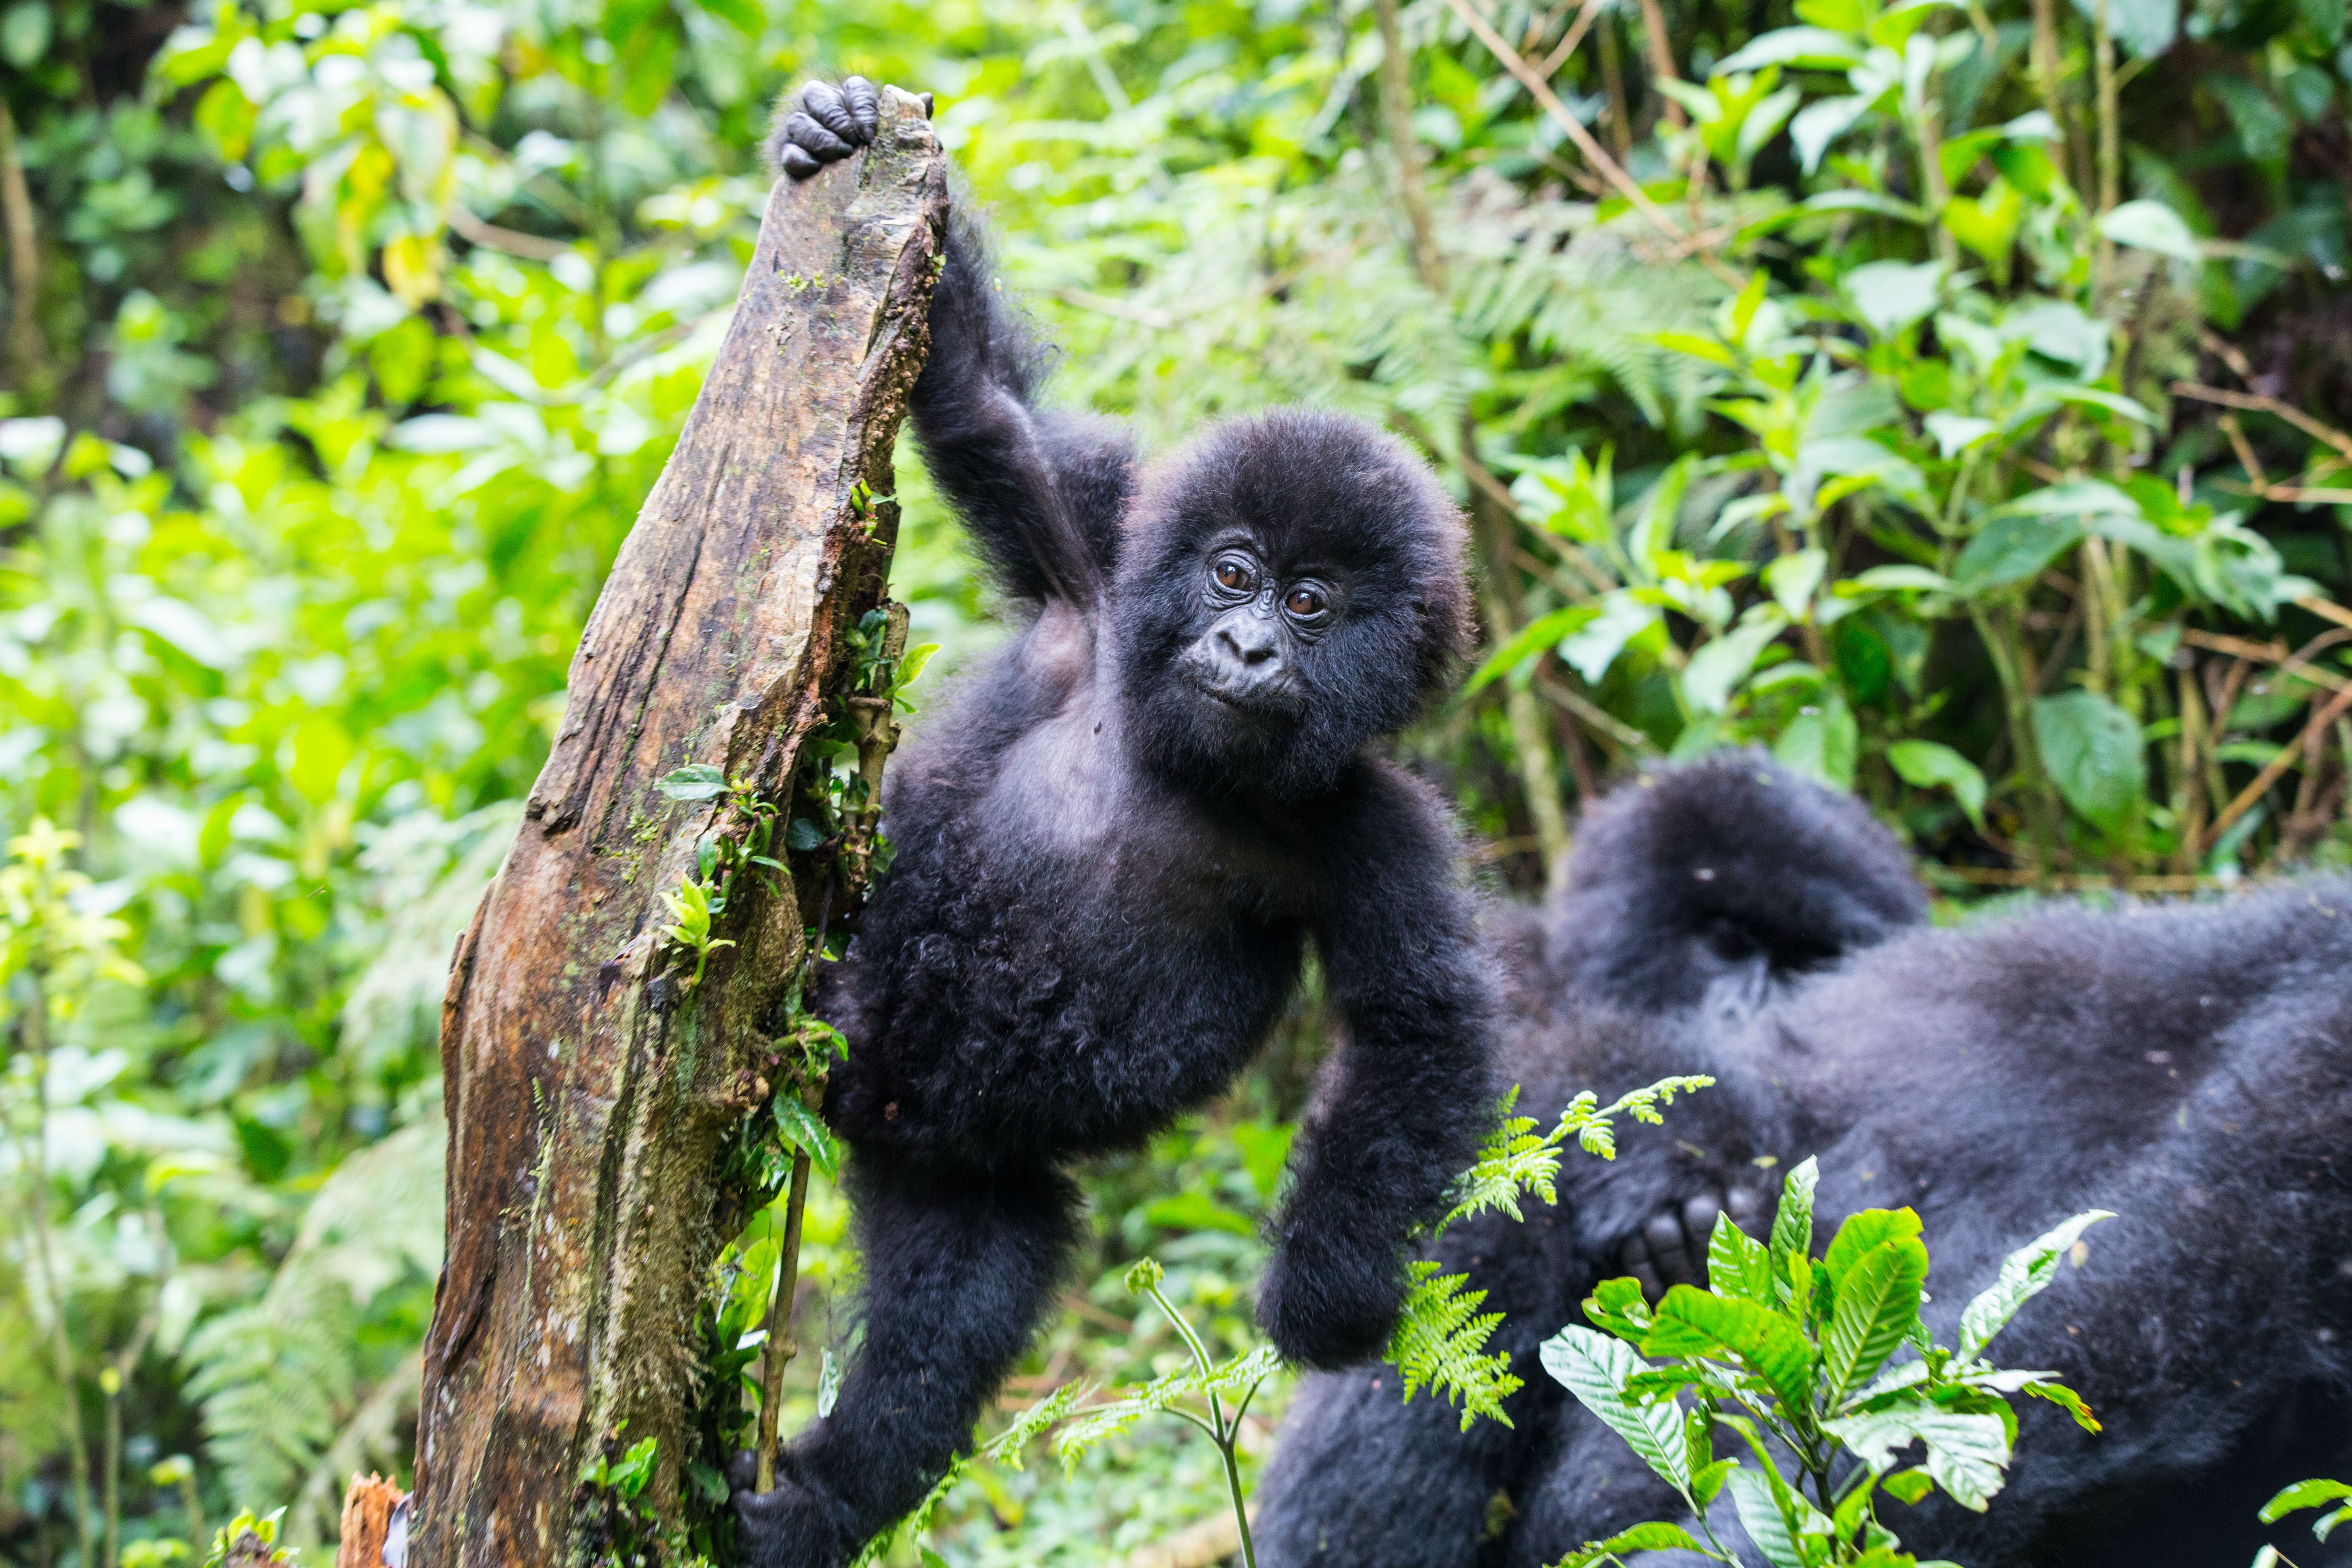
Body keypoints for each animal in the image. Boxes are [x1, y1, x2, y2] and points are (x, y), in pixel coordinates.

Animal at [738, 89, 1486, 1568]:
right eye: (1234, 573)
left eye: (1312, 605)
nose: (1247, 647)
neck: (1187, 756)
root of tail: (866, 1104)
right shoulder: (1097, 559)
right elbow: (983, 408)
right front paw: (831, 133)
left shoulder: (1378, 829)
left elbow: (1415, 1030)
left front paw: (1324, 1289)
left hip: (962, 1166)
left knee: (945, 1331)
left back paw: (815, 1501)